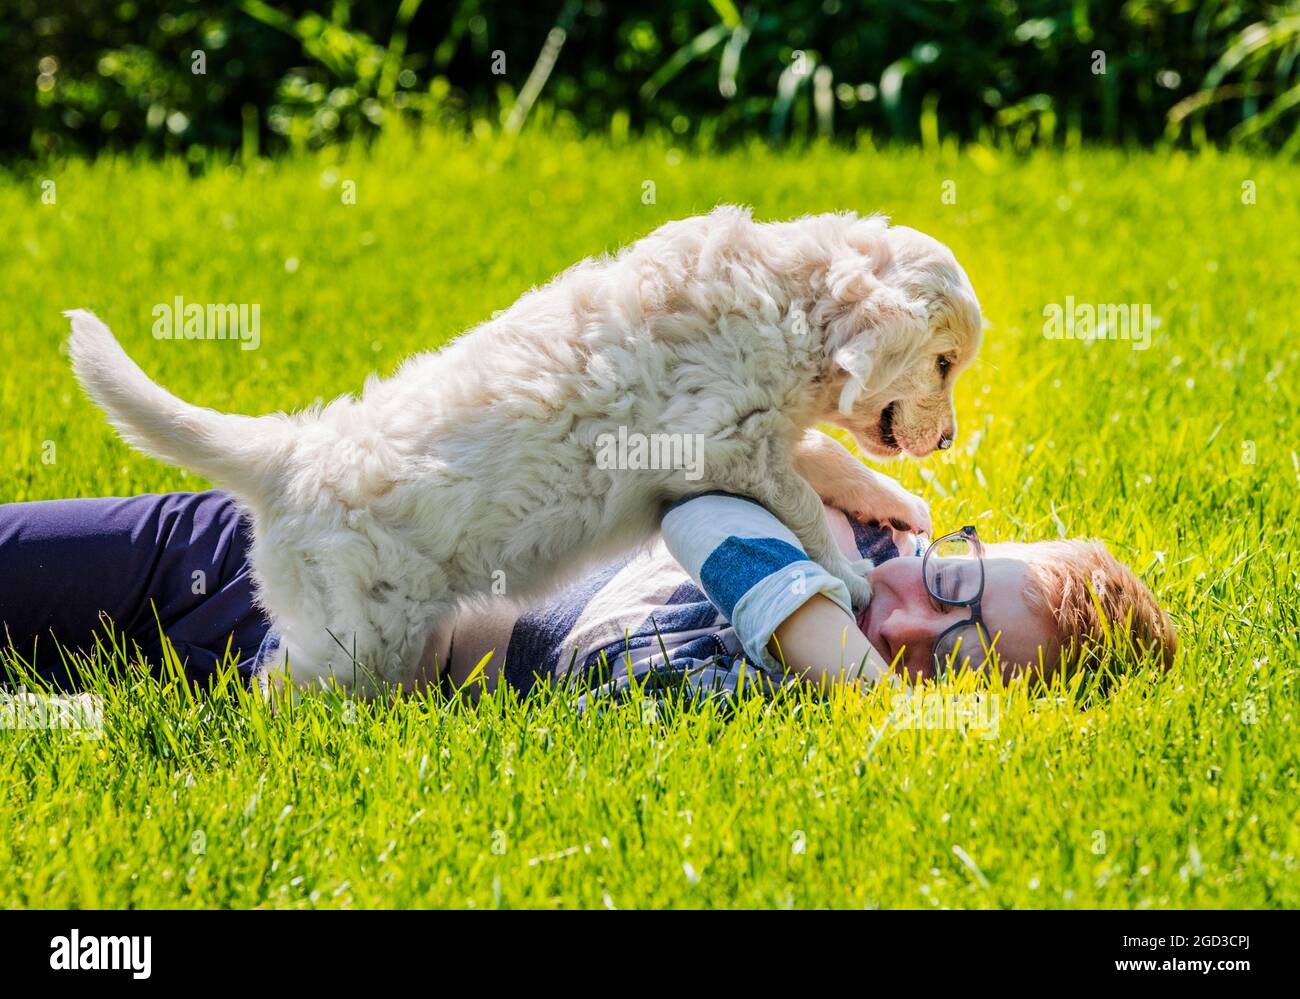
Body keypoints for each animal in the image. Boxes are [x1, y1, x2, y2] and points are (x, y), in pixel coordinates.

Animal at [65, 206, 977, 692]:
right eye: (943, 363)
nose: (949, 438)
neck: (792, 298)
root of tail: (287, 456)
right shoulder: (716, 445)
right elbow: (798, 497)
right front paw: (849, 567)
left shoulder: (752, 437)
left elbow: (822, 459)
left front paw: (896, 505)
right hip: (353, 632)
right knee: (277, 691)